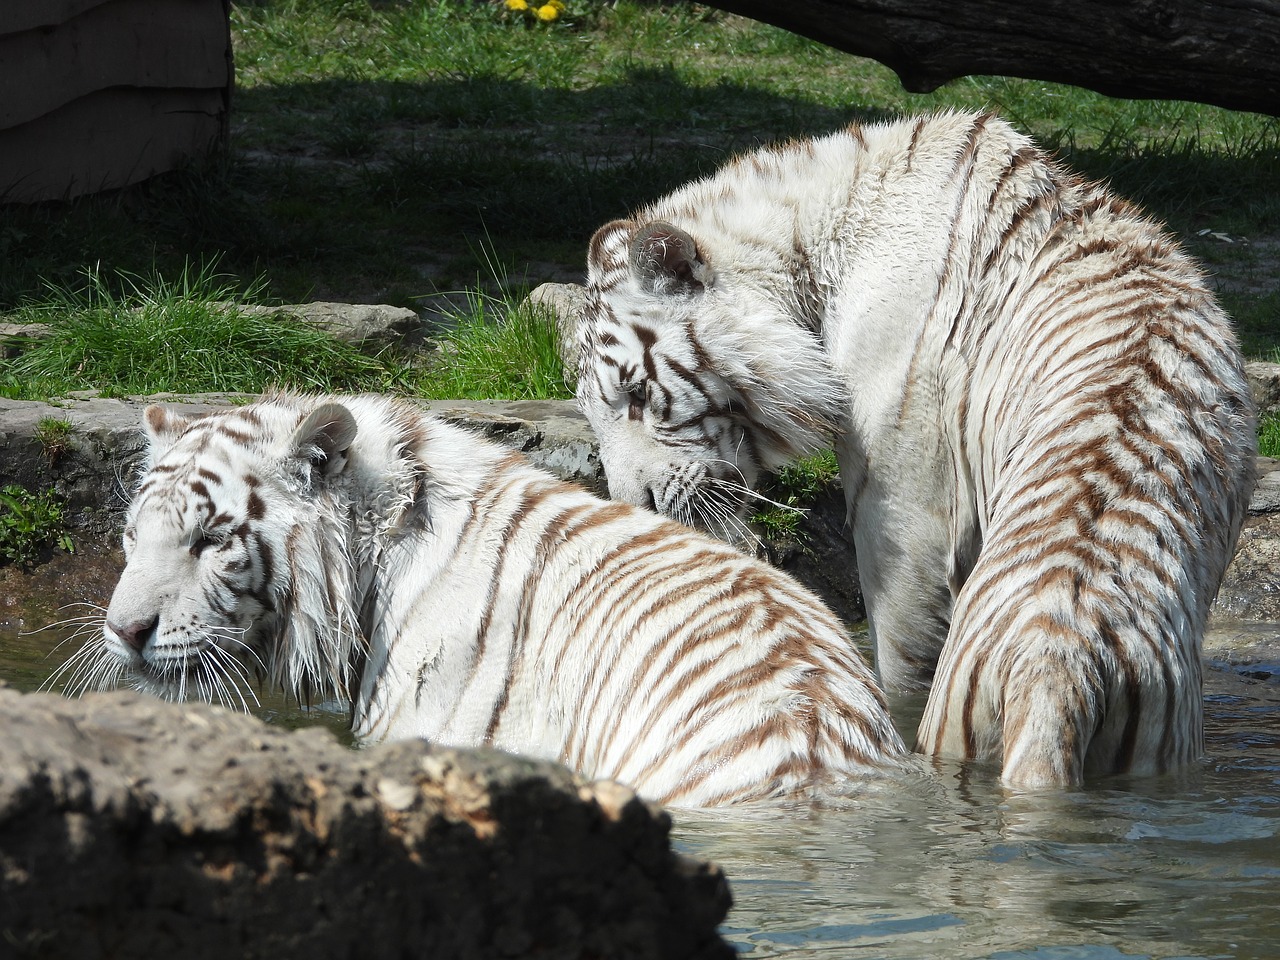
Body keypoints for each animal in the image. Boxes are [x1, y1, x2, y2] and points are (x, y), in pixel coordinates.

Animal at [576, 110, 1254, 788]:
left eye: (637, 394)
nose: (636, 505)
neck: (809, 259)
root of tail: (1057, 671)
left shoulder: (902, 510)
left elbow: (900, 659)